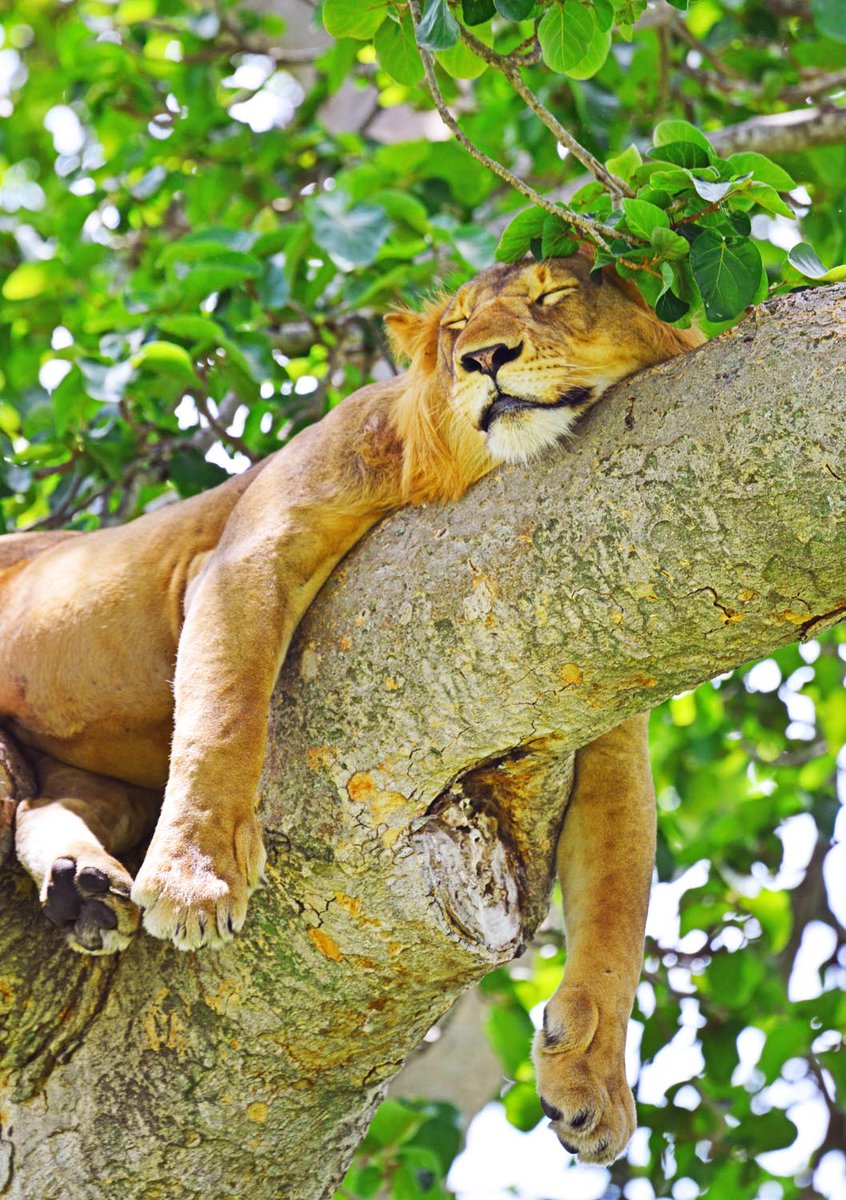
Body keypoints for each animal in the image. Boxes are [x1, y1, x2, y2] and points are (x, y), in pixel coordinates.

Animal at [0, 251, 701, 1163]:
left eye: (554, 294)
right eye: (456, 325)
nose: (483, 358)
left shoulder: (607, 707)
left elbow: (620, 905)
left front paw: (592, 1081)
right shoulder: (247, 554)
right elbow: (224, 716)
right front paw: (197, 881)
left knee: (49, 802)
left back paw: (83, 887)